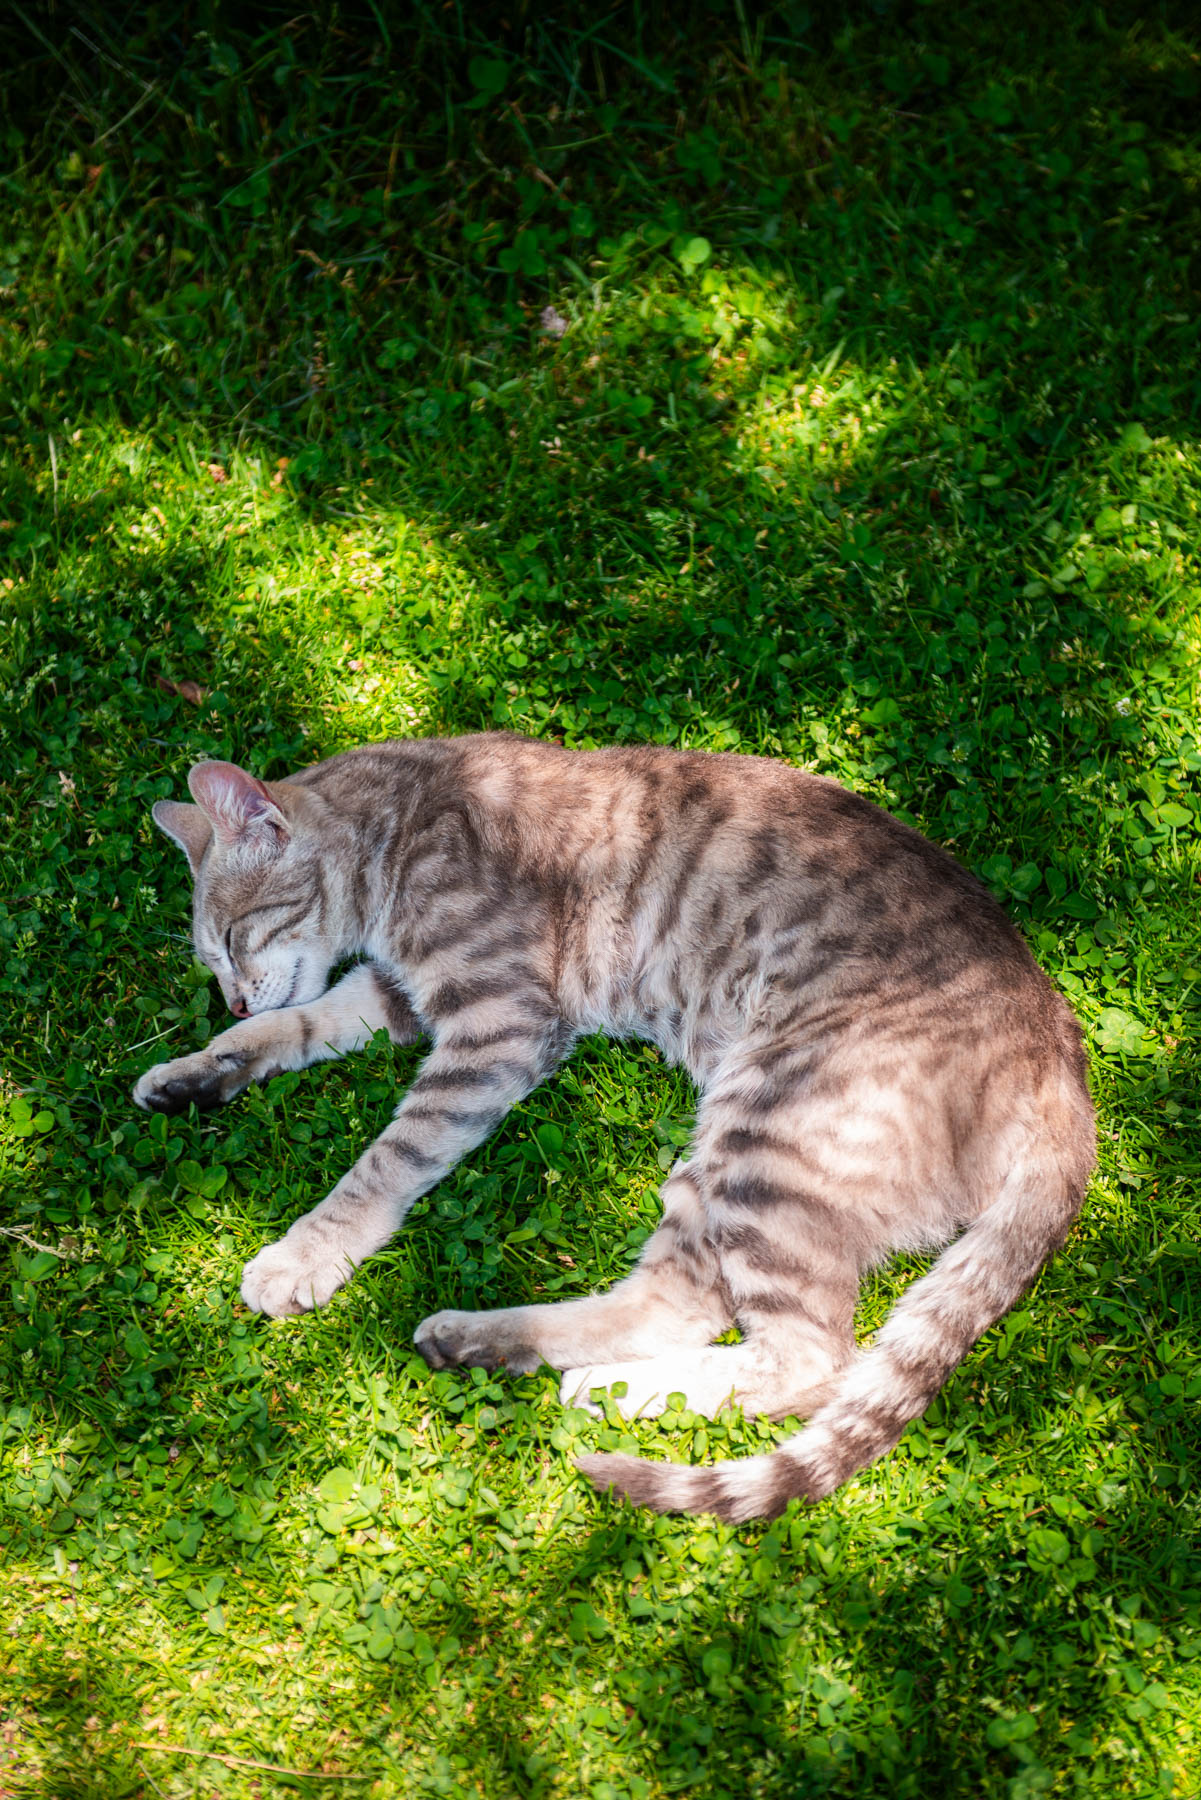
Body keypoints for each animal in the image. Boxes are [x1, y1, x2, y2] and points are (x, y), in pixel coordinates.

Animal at [135, 730, 1094, 1519]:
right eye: (210, 959)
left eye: (232, 937)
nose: (228, 993)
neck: (400, 827)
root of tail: (1062, 1081)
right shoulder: (400, 994)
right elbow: (295, 1025)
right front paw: (198, 1068)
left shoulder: (498, 1023)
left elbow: (387, 1159)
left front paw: (305, 1253)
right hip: (722, 1163)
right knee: (678, 1305)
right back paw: (505, 1351)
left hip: (768, 1129)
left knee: (808, 1359)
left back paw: (603, 1387)